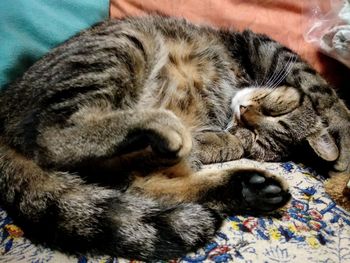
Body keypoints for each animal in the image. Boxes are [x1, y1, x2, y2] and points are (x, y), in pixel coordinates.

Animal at [0, 16, 350, 262]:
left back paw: (246, 188)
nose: (245, 111)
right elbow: (319, 87)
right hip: (128, 44)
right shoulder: (261, 44)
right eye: (278, 108)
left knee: (137, 185)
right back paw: (164, 128)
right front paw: (343, 140)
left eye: (256, 137)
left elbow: (228, 142)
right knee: (53, 137)